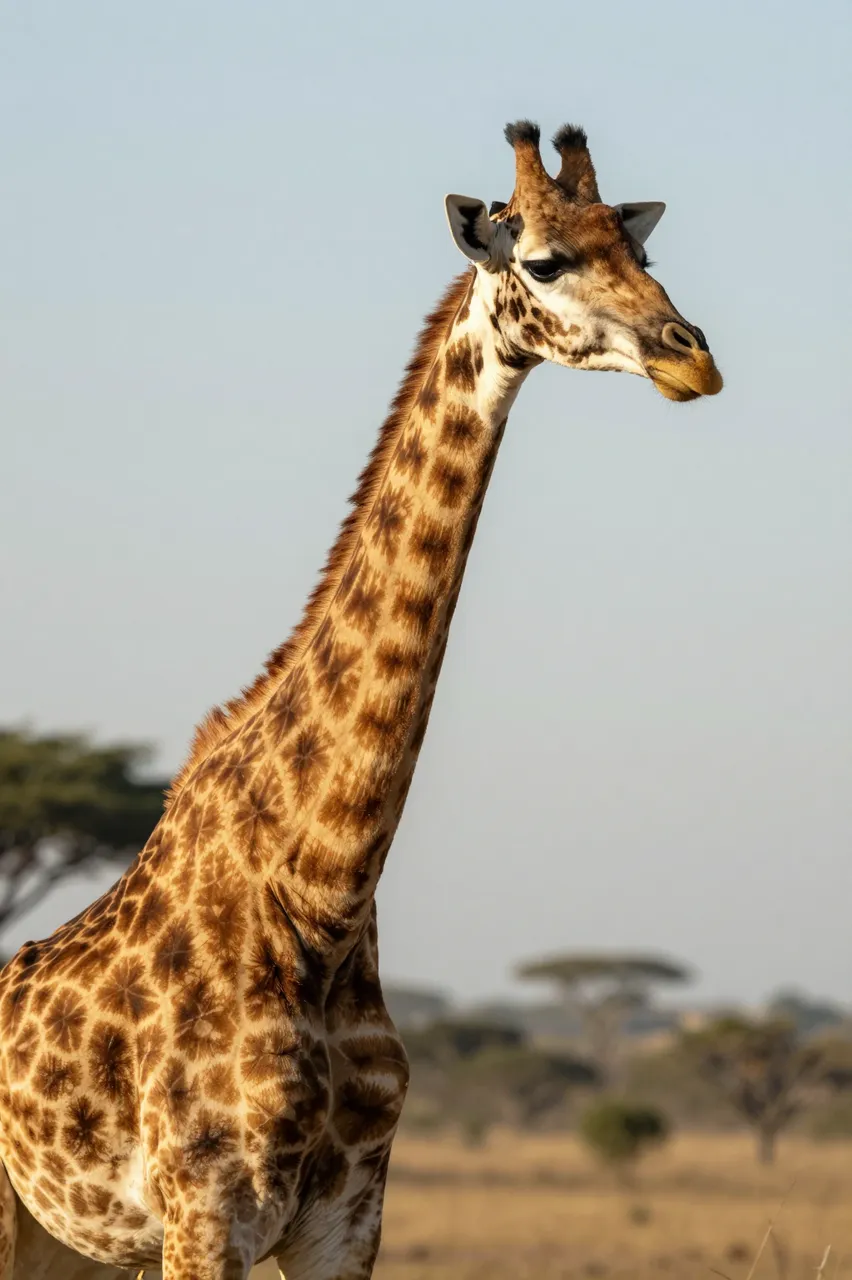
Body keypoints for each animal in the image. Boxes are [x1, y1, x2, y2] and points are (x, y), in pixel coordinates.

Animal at [0, 119, 722, 1280]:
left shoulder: (349, 1213)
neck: (323, 892)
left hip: (84, 1243)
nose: (689, 354)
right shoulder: (207, 1212)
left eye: (641, 248)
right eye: (544, 262)